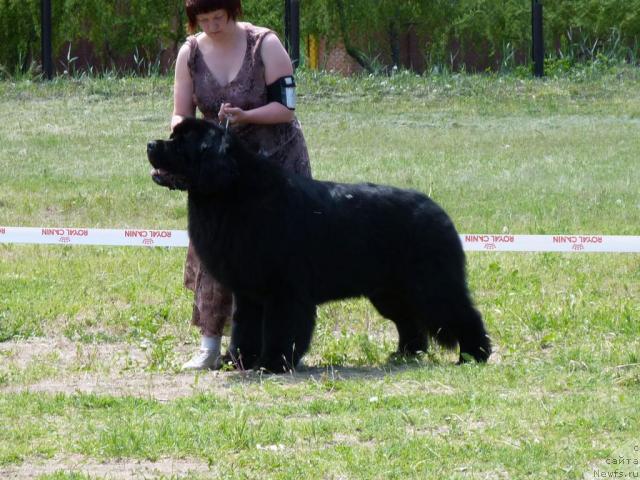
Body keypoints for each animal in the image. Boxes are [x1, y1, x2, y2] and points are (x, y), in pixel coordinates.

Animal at [149, 118, 490, 374]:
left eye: (181, 143)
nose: (151, 144)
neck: (232, 191)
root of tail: (439, 212)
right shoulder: (248, 292)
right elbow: (244, 327)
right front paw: (241, 360)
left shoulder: (283, 290)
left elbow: (281, 328)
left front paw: (273, 363)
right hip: (389, 291)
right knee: (409, 321)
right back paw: (405, 354)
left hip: (431, 284)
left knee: (461, 312)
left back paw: (474, 356)